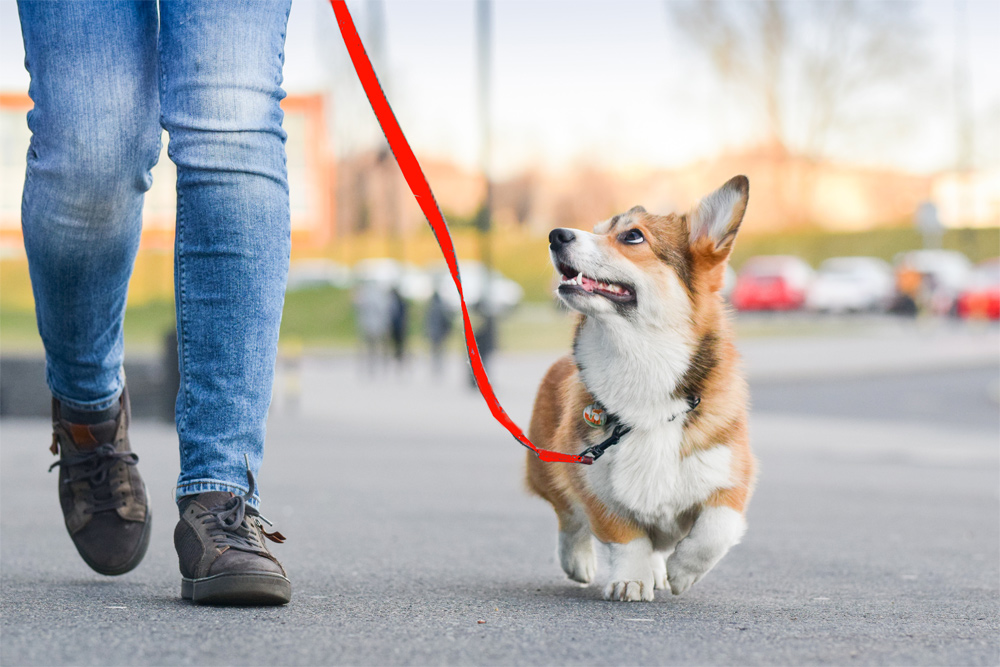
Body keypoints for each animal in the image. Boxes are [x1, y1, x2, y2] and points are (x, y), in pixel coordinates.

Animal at [528, 176, 752, 600]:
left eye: (632, 236)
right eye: (597, 230)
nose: (556, 234)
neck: (641, 363)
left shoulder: (731, 476)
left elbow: (716, 529)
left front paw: (682, 572)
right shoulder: (591, 479)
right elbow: (626, 537)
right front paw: (630, 579)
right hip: (546, 467)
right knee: (568, 517)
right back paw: (579, 561)